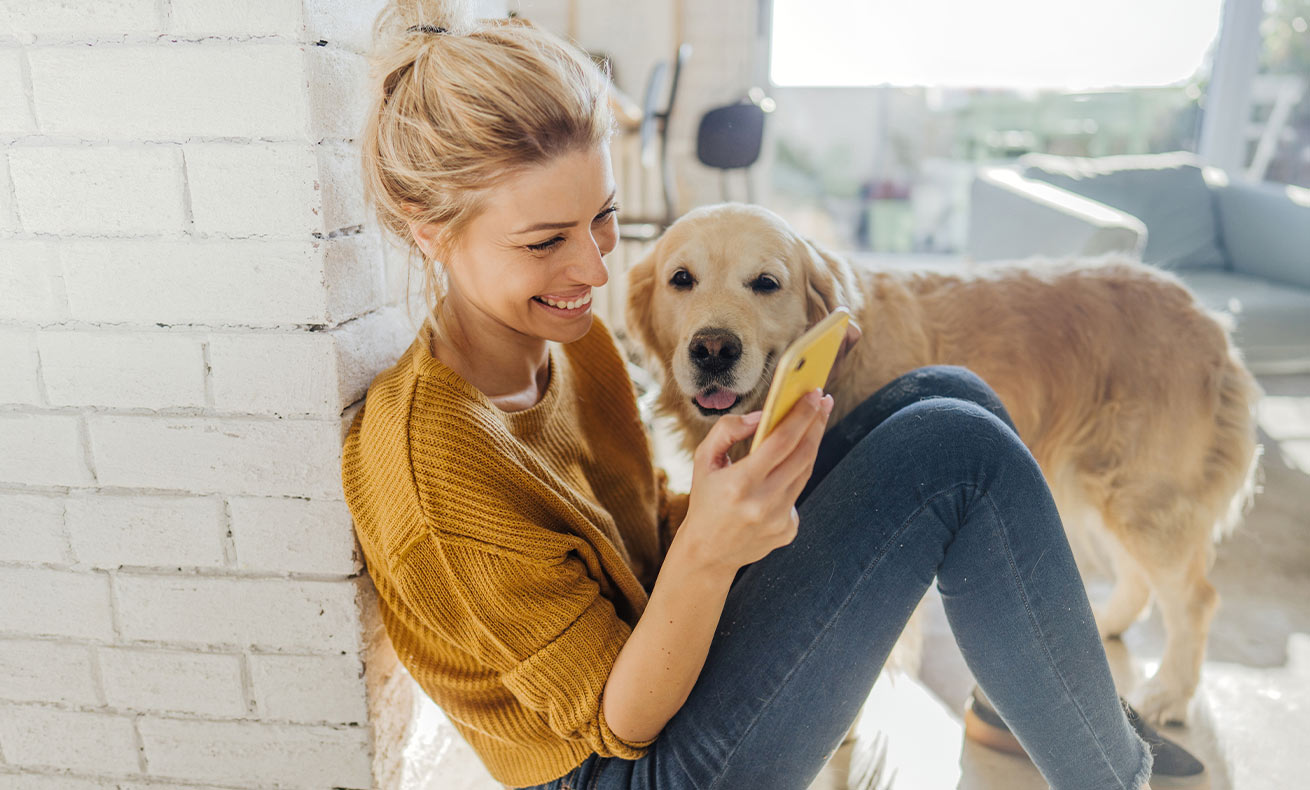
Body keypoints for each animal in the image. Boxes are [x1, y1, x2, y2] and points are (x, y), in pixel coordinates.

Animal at [628, 200, 1262, 728]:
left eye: (766, 283)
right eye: (681, 279)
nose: (713, 349)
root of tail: (1209, 317)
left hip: (1144, 495)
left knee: (1194, 598)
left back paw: (1169, 694)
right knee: (1139, 579)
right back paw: (1101, 623)